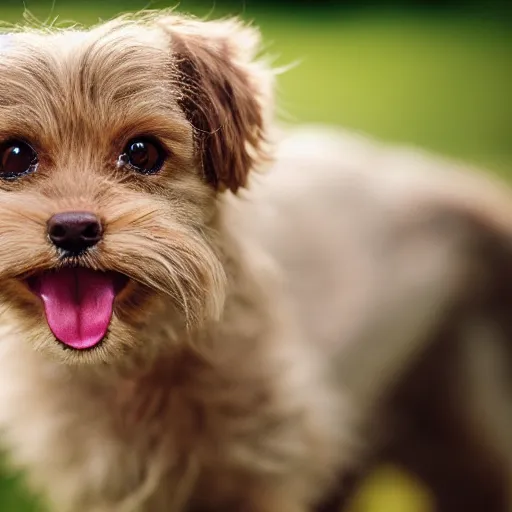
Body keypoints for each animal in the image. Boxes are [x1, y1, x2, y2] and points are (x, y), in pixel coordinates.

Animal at [0, 9, 510, 512]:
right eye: (14, 156)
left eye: (142, 152)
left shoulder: (266, 470)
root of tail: (434, 182)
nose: (74, 228)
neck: (136, 362)